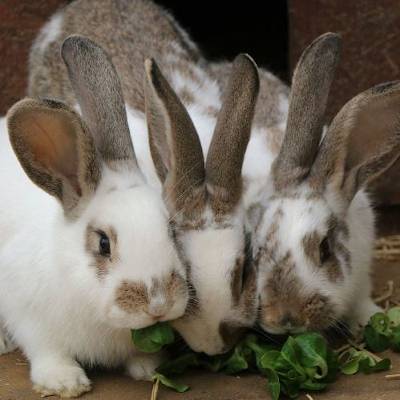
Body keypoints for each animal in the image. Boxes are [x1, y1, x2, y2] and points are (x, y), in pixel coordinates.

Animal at [0, 36, 189, 398]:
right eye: (103, 244)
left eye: (170, 230)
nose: (158, 305)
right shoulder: (28, 316)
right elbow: (47, 351)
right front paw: (64, 381)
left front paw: (148, 367)